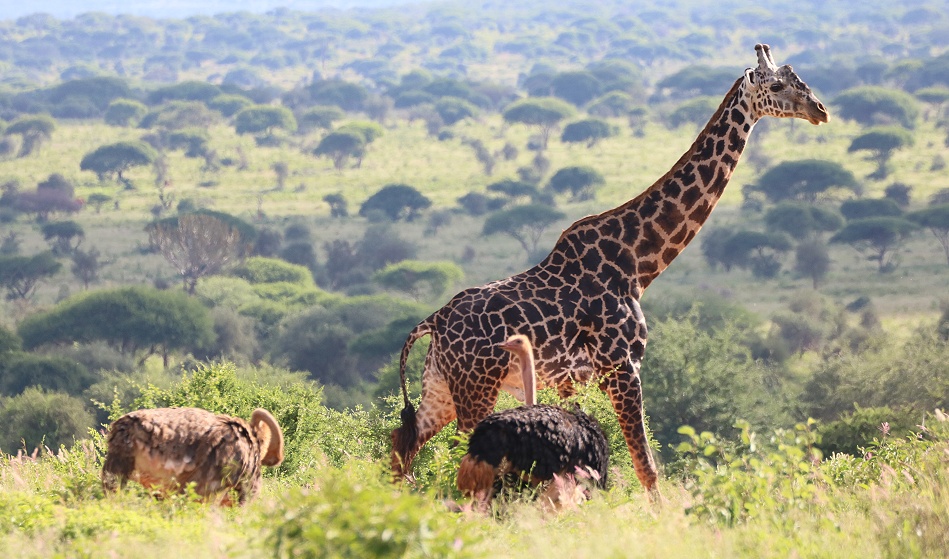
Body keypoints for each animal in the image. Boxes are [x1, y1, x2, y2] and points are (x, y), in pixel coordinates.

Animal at [391, 44, 828, 493]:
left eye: (799, 79)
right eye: (778, 86)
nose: (820, 110)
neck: (637, 262)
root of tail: (433, 322)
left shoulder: (576, 380)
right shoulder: (623, 367)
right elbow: (646, 466)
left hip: (441, 390)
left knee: (402, 448)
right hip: (476, 389)